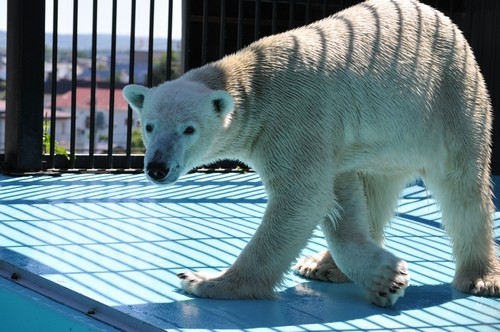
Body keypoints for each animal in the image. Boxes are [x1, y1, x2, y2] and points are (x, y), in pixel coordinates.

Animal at [123, 0, 498, 306]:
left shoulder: (295, 120)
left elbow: (301, 198)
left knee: (463, 186)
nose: (156, 167)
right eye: (149, 125)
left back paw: (481, 277)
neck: (255, 82)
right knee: (375, 187)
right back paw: (322, 265)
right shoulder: (327, 138)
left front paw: (205, 281)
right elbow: (339, 199)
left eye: (189, 129)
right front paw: (385, 278)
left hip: (452, 98)